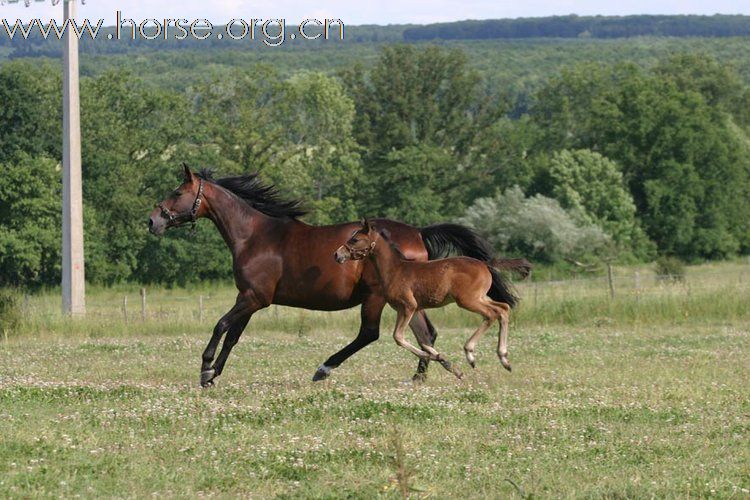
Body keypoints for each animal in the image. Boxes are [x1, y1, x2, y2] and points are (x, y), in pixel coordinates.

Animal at [334, 220, 516, 378]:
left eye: (355, 239)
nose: (337, 254)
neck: (395, 270)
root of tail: (485, 265)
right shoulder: (405, 309)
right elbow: (424, 340)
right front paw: (446, 362)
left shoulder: (409, 306)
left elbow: (398, 337)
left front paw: (436, 358)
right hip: (478, 298)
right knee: (503, 308)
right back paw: (504, 359)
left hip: (467, 300)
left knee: (492, 313)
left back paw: (471, 354)